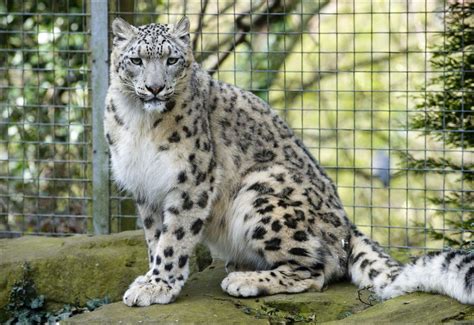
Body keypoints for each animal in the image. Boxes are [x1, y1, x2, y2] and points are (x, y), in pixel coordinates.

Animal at [104, 16, 474, 306]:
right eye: (136, 60)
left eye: (171, 60)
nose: (155, 88)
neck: (140, 122)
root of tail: (348, 225)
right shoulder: (145, 187)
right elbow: (155, 236)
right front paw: (151, 278)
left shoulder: (191, 180)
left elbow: (175, 238)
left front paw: (158, 285)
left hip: (261, 190)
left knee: (316, 269)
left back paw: (245, 280)